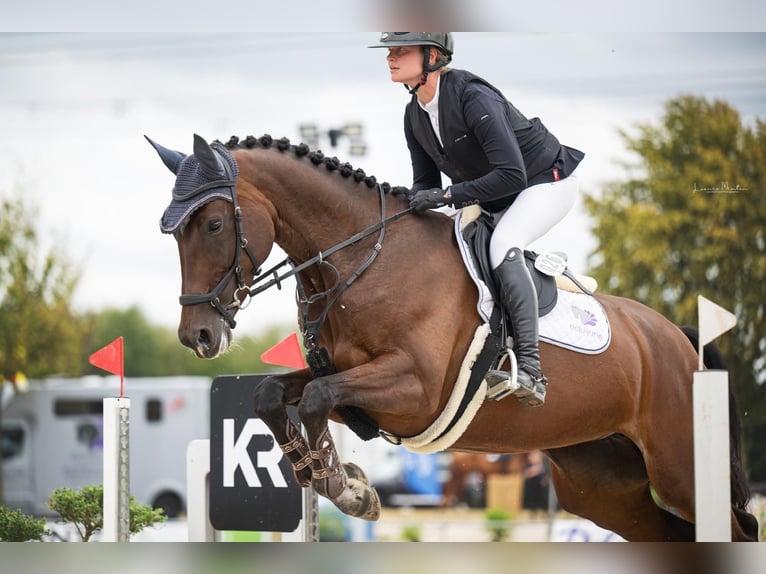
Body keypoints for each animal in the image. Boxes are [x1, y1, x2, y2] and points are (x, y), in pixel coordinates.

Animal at [148, 133, 758, 541]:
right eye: (172, 233)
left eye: (215, 225)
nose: (198, 335)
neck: (361, 261)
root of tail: (680, 340)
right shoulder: (350, 382)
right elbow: (270, 394)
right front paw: (328, 475)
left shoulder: (414, 392)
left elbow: (317, 399)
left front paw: (349, 489)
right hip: (602, 483)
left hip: (679, 467)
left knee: (733, 527)